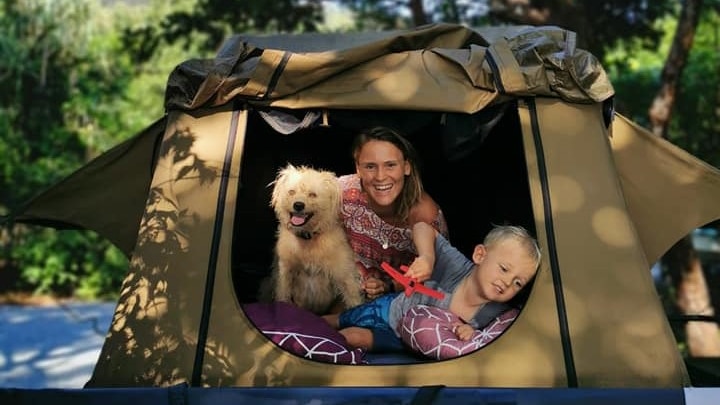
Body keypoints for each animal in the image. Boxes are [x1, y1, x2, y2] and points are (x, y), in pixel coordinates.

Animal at [268, 163, 362, 314]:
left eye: (313, 194)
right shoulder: (285, 273)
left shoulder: (344, 274)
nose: (298, 205)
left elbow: (353, 297)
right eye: (291, 192)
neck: (308, 237)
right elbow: (283, 294)